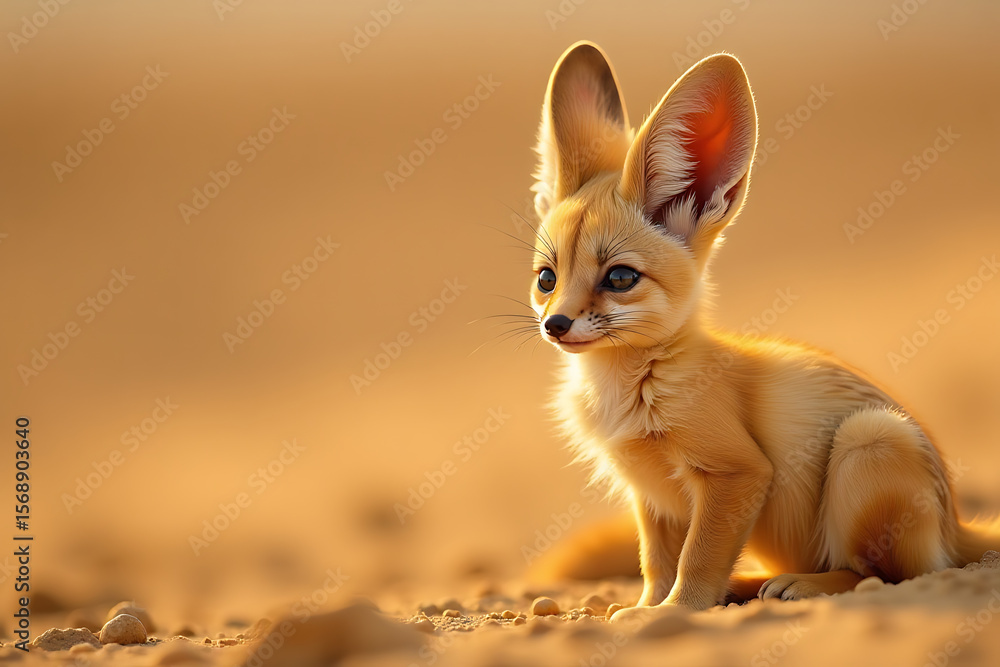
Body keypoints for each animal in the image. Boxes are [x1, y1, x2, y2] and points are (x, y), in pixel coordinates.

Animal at [522, 41, 999, 618]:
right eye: (547, 278)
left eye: (619, 278)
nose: (556, 324)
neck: (629, 387)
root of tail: (957, 525)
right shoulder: (651, 494)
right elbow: (656, 562)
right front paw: (644, 609)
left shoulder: (738, 473)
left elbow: (696, 558)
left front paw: (677, 611)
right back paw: (748, 586)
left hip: (869, 441)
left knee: (887, 575)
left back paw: (803, 585)